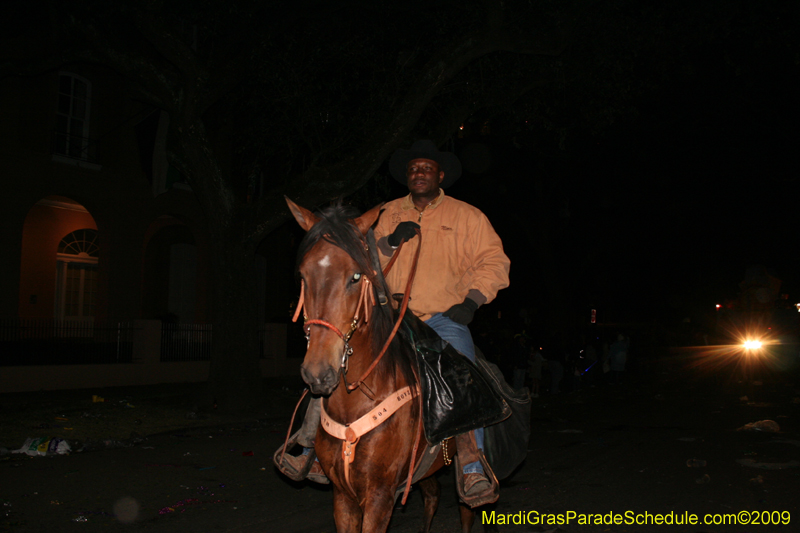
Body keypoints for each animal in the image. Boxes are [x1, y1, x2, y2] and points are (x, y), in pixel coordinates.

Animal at [284, 197, 484, 532]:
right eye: (302, 276)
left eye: (355, 277)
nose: (318, 372)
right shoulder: (343, 496)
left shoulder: (380, 495)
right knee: (433, 495)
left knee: (468, 508)